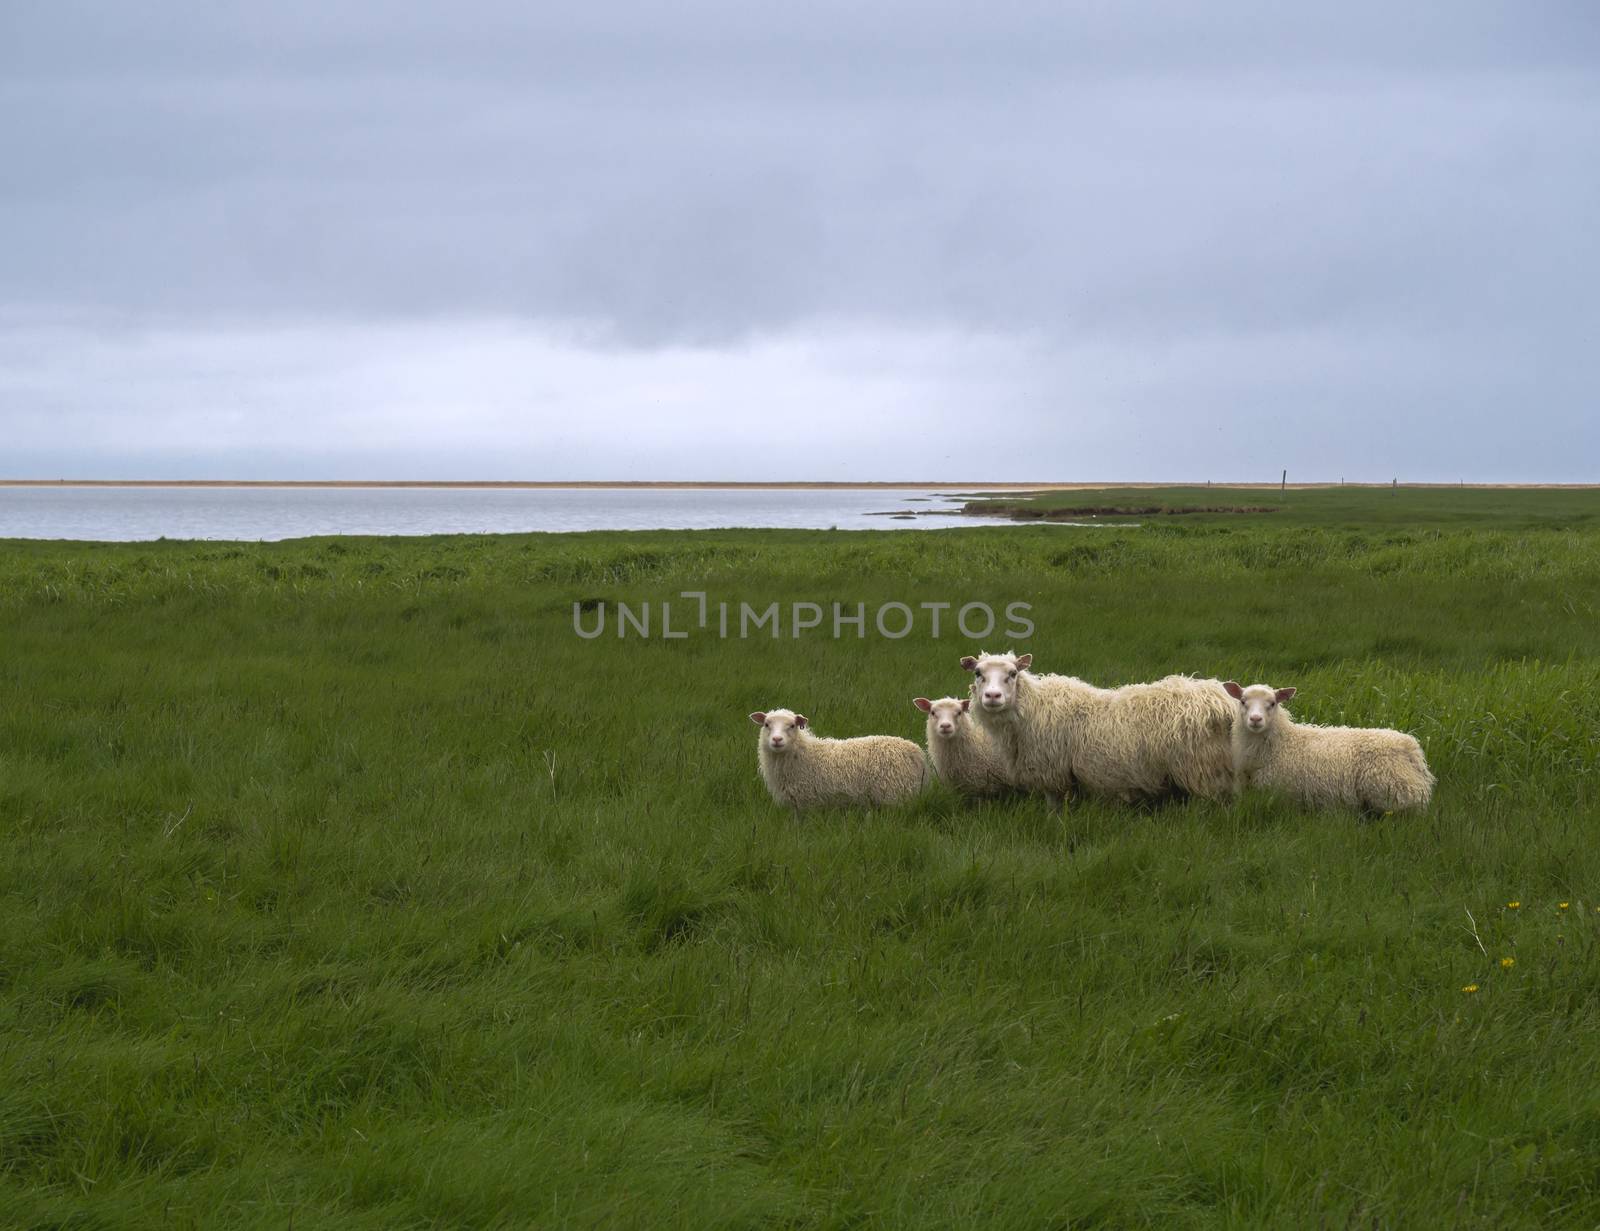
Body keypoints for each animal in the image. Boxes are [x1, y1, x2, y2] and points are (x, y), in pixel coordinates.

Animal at [745, 704, 928, 819]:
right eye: (766, 724)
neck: (804, 753)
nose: (777, 740)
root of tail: (916, 752)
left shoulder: (806, 801)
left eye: (792, 726)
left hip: (895, 795)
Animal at [960, 646, 1235, 813]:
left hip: (1203, 769)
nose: (992, 696)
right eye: (978, 673)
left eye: (1013, 673)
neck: (1031, 708)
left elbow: (1054, 810)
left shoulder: (1054, 773)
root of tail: (1222, 699)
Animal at [1222, 678, 1440, 813]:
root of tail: (1411, 748)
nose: (1255, 719)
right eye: (1243, 701)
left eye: (1273, 703)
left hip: (1394, 793)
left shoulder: (1279, 793)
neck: (1282, 742)